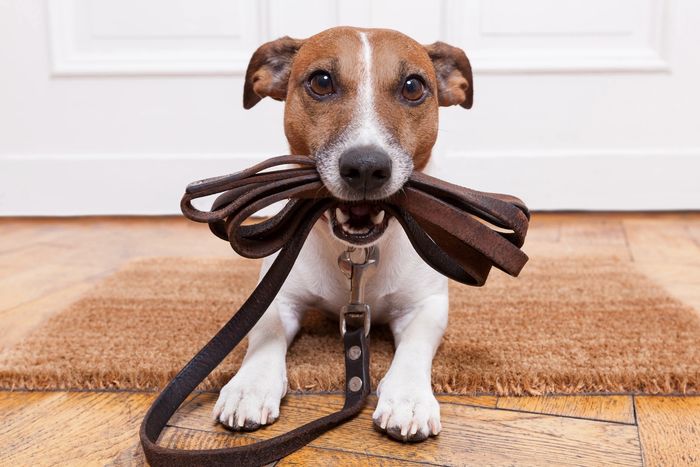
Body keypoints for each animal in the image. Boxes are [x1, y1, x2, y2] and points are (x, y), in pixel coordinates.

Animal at [212, 25, 476, 442]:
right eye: (321, 82)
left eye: (413, 87)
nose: (366, 167)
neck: (358, 254)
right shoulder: (277, 296)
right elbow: (265, 332)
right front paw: (249, 385)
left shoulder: (427, 305)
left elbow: (416, 345)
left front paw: (408, 397)